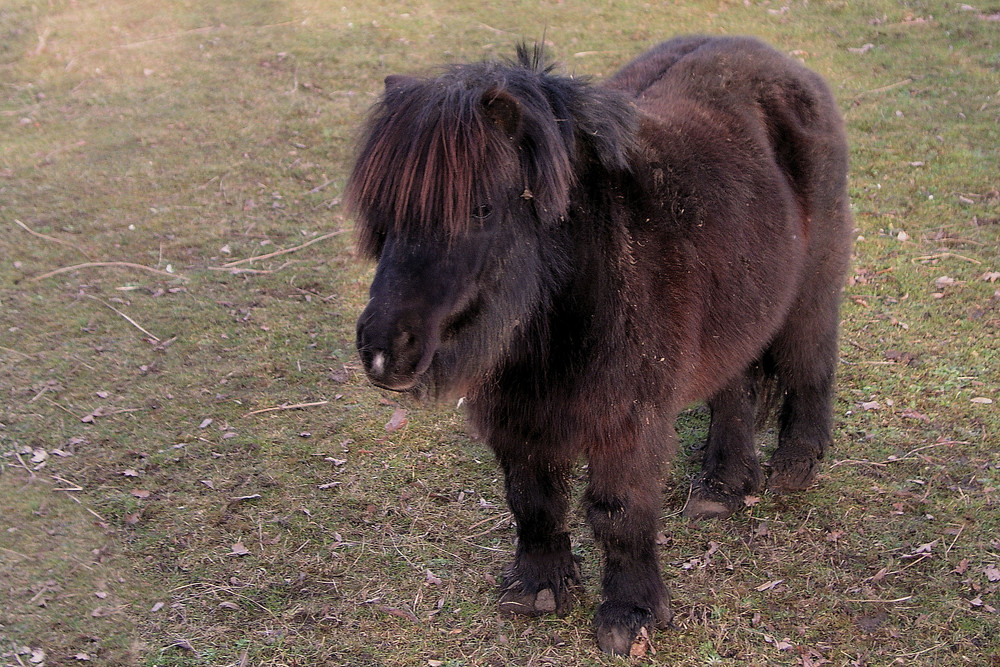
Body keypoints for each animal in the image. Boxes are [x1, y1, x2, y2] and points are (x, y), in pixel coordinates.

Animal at [346, 34, 852, 656]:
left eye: (480, 208)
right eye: (383, 214)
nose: (383, 351)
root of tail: (782, 63)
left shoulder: (625, 420)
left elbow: (619, 511)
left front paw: (630, 613)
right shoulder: (519, 413)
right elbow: (531, 499)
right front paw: (539, 588)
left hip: (814, 284)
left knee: (811, 360)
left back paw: (797, 465)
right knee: (734, 387)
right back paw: (723, 486)